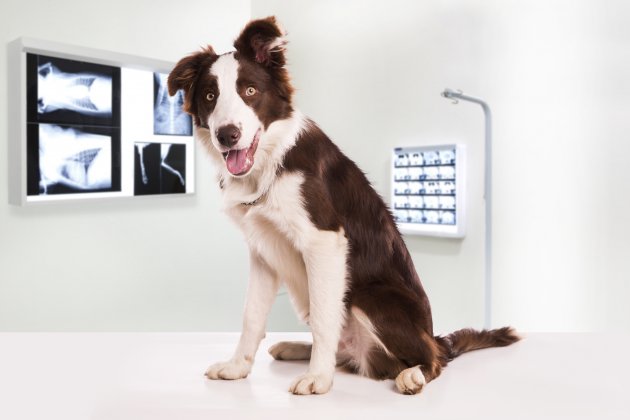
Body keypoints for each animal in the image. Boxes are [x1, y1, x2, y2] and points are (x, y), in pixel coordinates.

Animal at [168, 16, 520, 396]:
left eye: (249, 91)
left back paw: (412, 374)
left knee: (432, 357)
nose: (227, 135)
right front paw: (238, 367)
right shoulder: (262, 250)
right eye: (210, 96)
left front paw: (318, 378)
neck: (270, 163)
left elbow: (325, 317)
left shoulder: (324, 241)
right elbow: (251, 316)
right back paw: (295, 347)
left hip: (372, 296)